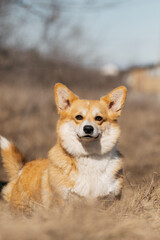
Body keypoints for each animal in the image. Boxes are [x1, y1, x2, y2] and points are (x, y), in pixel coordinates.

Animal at [0, 83, 127, 212]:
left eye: (99, 118)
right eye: (79, 117)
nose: (88, 128)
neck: (89, 155)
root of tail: (22, 170)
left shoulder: (109, 200)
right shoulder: (63, 201)